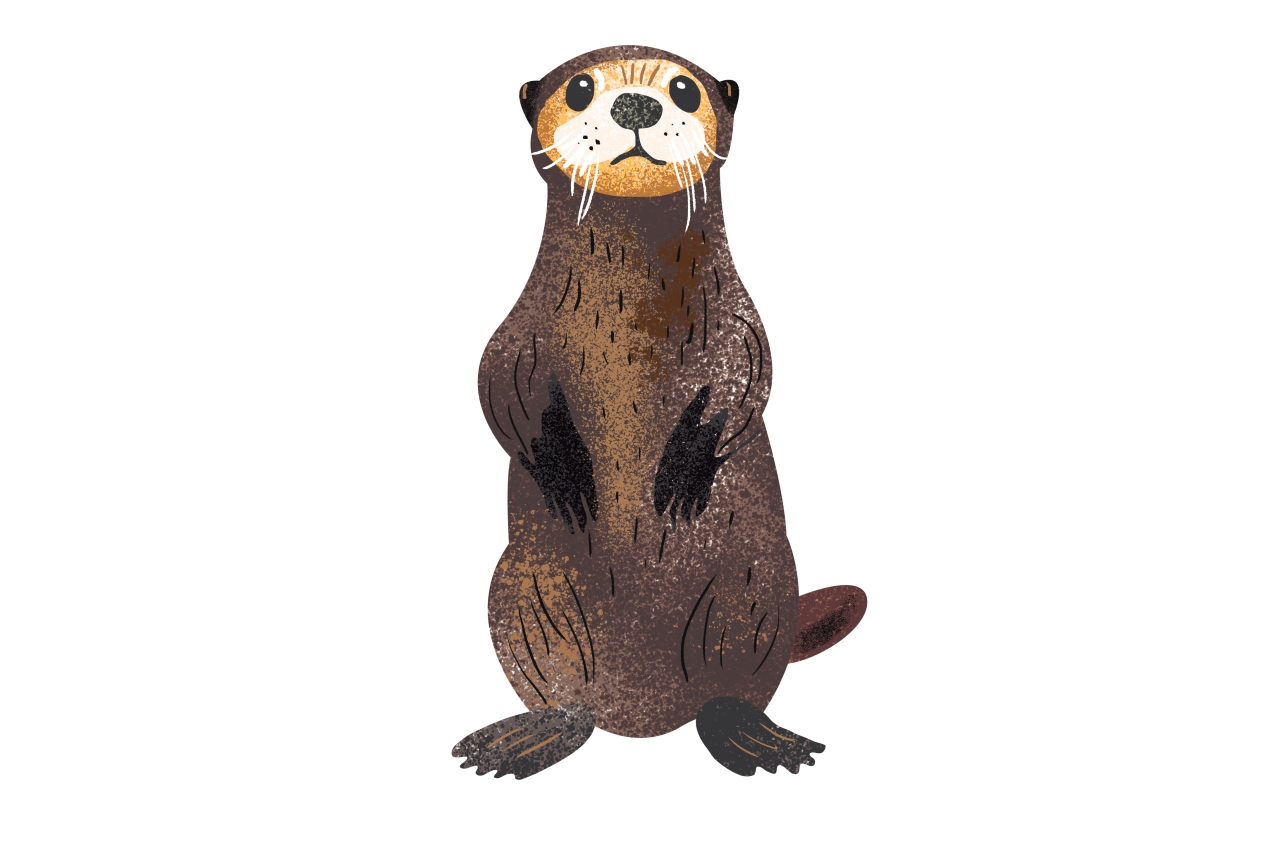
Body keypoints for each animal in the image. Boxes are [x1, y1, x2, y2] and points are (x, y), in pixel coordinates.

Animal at [453, 46, 867, 779]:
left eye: (682, 86)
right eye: (580, 87)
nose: (636, 103)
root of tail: (643, 717)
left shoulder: (738, 320)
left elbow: (753, 378)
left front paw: (682, 471)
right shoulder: (520, 325)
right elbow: (495, 382)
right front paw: (565, 474)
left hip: (756, 582)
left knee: (731, 685)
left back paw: (754, 737)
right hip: (522, 584)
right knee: (562, 692)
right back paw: (524, 736)